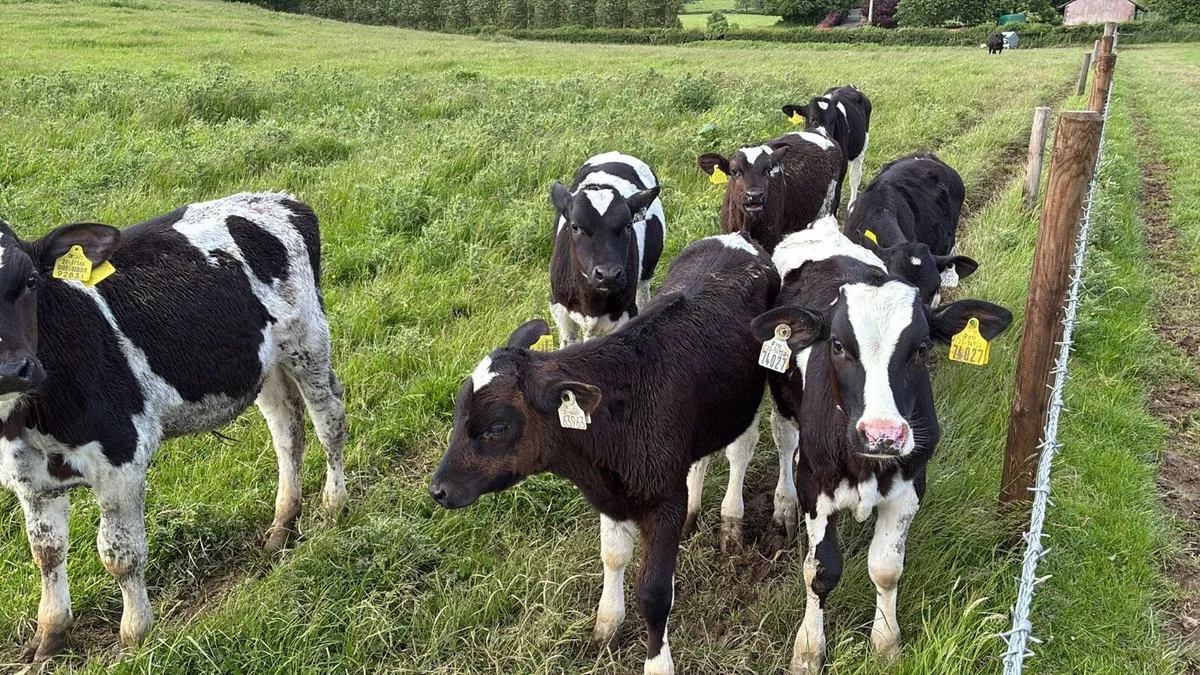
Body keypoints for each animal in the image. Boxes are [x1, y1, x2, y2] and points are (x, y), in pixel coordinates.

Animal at [0, 193, 347, 662]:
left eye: (31, 280)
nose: (11, 370)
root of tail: (282, 199)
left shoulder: (121, 455)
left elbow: (120, 553)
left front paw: (136, 634)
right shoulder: (28, 478)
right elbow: (46, 553)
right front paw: (50, 633)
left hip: (307, 341)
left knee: (329, 419)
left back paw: (334, 504)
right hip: (262, 362)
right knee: (287, 431)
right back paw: (283, 525)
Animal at [429, 232, 779, 675]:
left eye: (497, 428)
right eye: (458, 413)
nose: (438, 489)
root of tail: (737, 238)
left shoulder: (663, 501)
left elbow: (654, 592)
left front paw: (658, 662)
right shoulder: (612, 495)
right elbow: (613, 558)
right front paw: (606, 627)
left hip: (746, 400)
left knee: (739, 453)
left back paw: (731, 524)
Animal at [550, 152, 665, 346]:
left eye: (628, 226)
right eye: (575, 226)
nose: (608, 275)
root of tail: (617, 154)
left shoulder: (626, 312)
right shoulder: (558, 306)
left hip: (646, 273)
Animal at [749, 218, 1012, 674]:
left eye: (921, 348)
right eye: (837, 345)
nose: (883, 434)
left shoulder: (910, 484)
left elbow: (887, 568)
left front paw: (886, 642)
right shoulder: (815, 483)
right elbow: (820, 570)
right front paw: (808, 649)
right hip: (782, 398)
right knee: (784, 441)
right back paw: (783, 504)